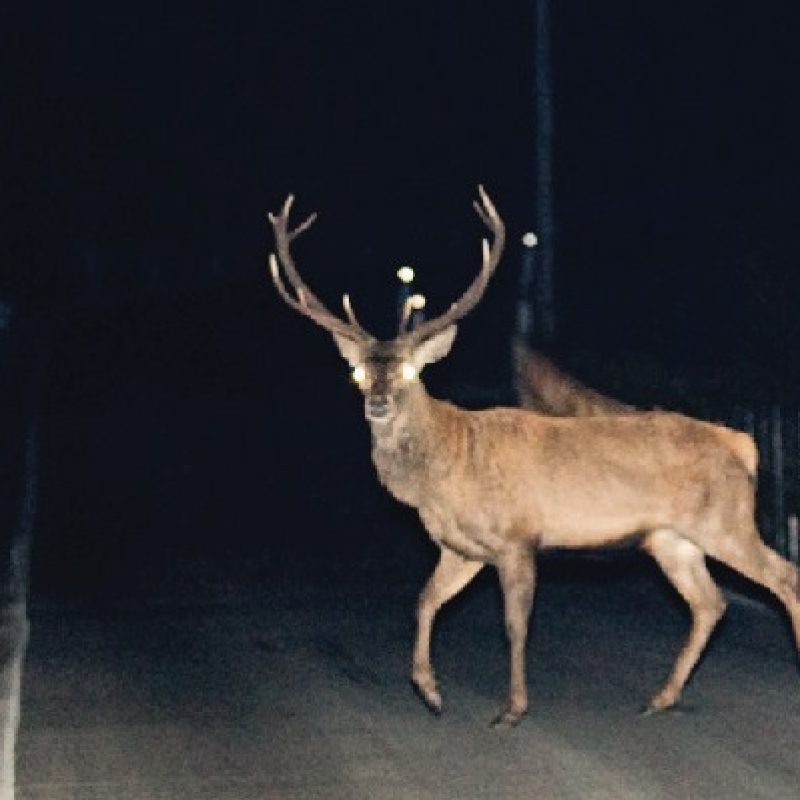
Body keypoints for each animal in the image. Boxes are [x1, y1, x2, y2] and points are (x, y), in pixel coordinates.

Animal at [268, 186, 800, 724]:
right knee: (710, 603)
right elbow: (424, 601)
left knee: (784, 575)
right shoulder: (462, 549)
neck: (449, 466)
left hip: (725, 520)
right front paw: (430, 691)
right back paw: (660, 697)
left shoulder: (517, 537)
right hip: (670, 539)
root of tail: (744, 446)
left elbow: (515, 625)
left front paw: (512, 708)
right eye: (357, 373)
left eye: (410, 373)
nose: (377, 403)